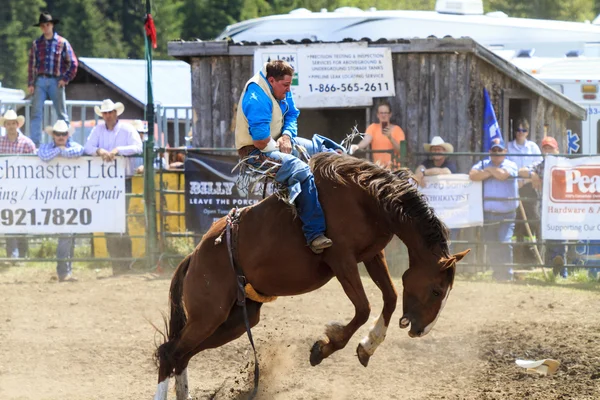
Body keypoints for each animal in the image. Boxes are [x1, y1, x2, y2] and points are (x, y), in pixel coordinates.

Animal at [154, 152, 468, 398]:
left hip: (235, 320)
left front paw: (367, 347)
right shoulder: (341, 259)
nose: (421, 330)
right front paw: (323, 347)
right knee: (169, 353)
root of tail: (194, 256)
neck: (368, 198)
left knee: (181, 354)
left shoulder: (372, 254)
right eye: (437, 290)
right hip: (210, 314)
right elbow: (363, 308)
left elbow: (389, 297)